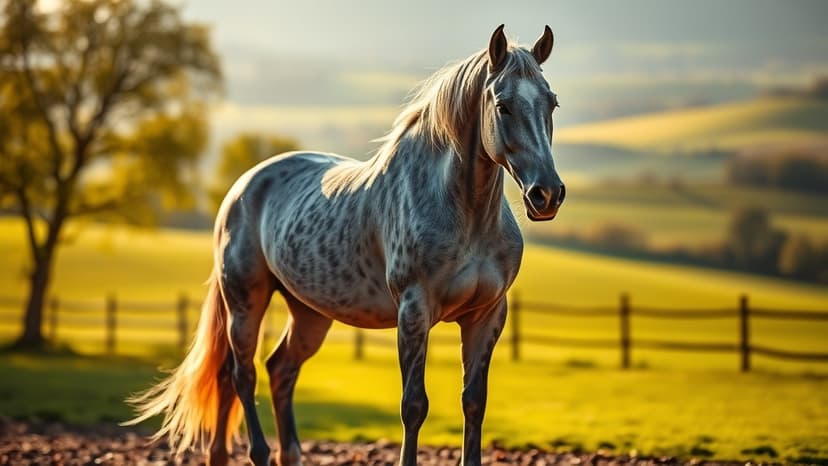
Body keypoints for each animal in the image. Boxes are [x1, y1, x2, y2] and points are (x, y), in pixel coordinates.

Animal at [126, 24, 565, 466]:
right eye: (503, 106)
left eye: (552, 103)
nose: (547, 194)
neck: (464, 214)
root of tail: (241, 187)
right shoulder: (414, 310)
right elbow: (414, 406)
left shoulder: (487, 315)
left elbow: (474, 402)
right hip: (245, 301)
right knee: (241, 374)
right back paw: (258, 451)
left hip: (308, 313)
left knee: (277, 370)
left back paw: (277, 453)